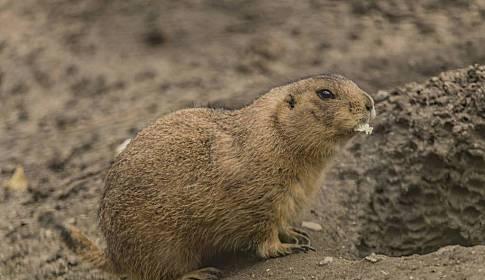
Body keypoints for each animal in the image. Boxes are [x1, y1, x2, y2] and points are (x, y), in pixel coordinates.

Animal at [60, 74, 374, 280]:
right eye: (325, 94)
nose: (370, 103)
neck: (279, 135)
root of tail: (114, 256)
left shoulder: (290, 198)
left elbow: (283, 224)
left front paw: (297, 234)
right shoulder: (262, 201)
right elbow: (265, 236)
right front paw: (286, 248)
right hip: (164, 247)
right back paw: (199, 273)